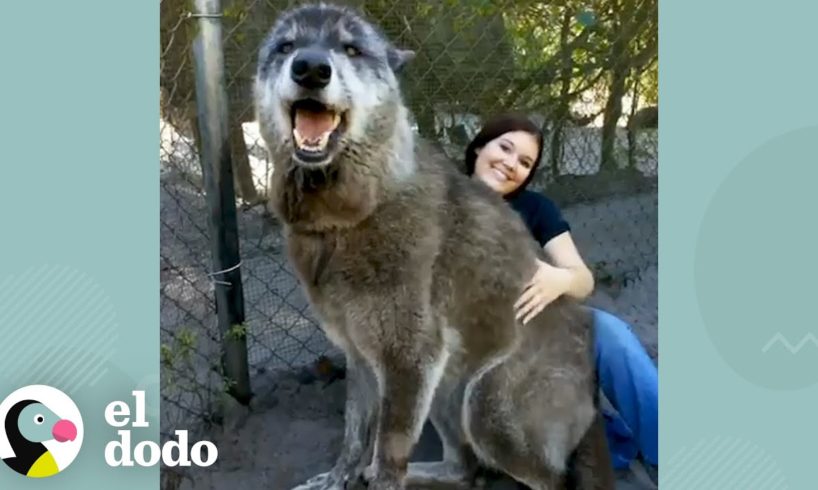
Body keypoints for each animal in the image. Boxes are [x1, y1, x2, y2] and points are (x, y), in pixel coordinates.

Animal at [252, 3, 616, 490]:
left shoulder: (409, 359)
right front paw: (339, 477)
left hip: (484, 407)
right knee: (464, 470)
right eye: (286, 46)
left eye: (352, 49)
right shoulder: (362, 358)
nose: (310, 68)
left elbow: (389, 451)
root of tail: (592, 400)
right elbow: (353, 435)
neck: (346, 218)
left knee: (544, 479)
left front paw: (378, 476)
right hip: (447, 389)